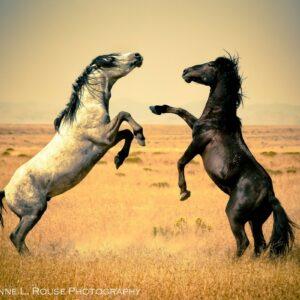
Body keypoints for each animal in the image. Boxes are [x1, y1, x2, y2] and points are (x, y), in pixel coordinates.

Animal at [0, 52, 145, 254]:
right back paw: (31, 258)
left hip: (29, 214)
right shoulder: (104, 136)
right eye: (111, 59)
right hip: (34, 212)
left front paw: (119, 158)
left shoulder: (108, 140)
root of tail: (6, 191)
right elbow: (124, 114)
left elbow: (127, 133)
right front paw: (141, 135)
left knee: (17, 237)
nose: (137, 56)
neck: (87, 110)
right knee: (17, 236)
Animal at [150, 55, 296, 256]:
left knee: (244, 242)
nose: (185, 71)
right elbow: (182, 111)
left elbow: (181, 162)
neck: (219, 118)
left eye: (211, 64)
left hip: (234, 215)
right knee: (259, 244)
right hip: (255, 220)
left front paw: (184, 192)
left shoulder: (198, 142)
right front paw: (156, 107)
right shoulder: (195, 126)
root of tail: (270, 195)